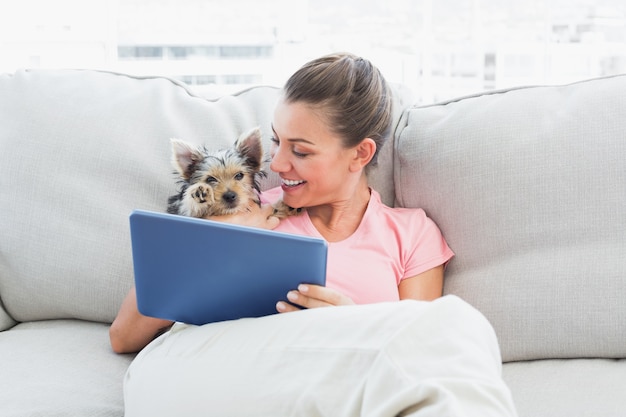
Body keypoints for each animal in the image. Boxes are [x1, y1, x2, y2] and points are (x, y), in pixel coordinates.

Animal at [167, 126, 298, 218]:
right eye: (210, 179)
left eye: (239, 175)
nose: (230, 196)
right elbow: (187, 208)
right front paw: (199, 195)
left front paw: (285, 206)